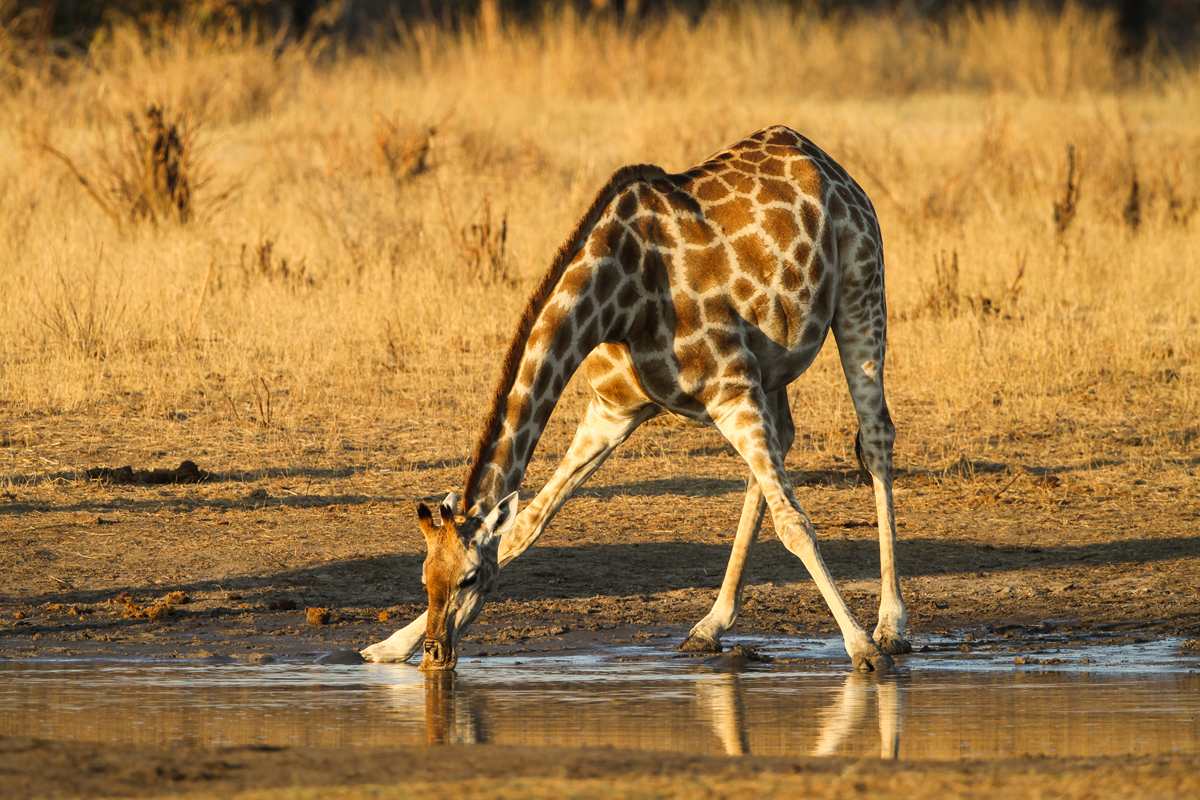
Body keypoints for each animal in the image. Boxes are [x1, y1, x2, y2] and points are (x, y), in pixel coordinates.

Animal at [361, 125, 910, 672]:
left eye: (470, 577)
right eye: (424, 577)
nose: (436, 654)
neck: (619, 299)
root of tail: (823, 160)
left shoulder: (729, 389)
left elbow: (795, 523)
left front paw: (862, 648)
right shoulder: (612, 410)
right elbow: (527, 525)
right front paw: (389, 646)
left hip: (861, 291)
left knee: (875, 436)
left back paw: (890, 627)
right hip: (770, 366)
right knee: (783, 447)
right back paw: (709, 626)